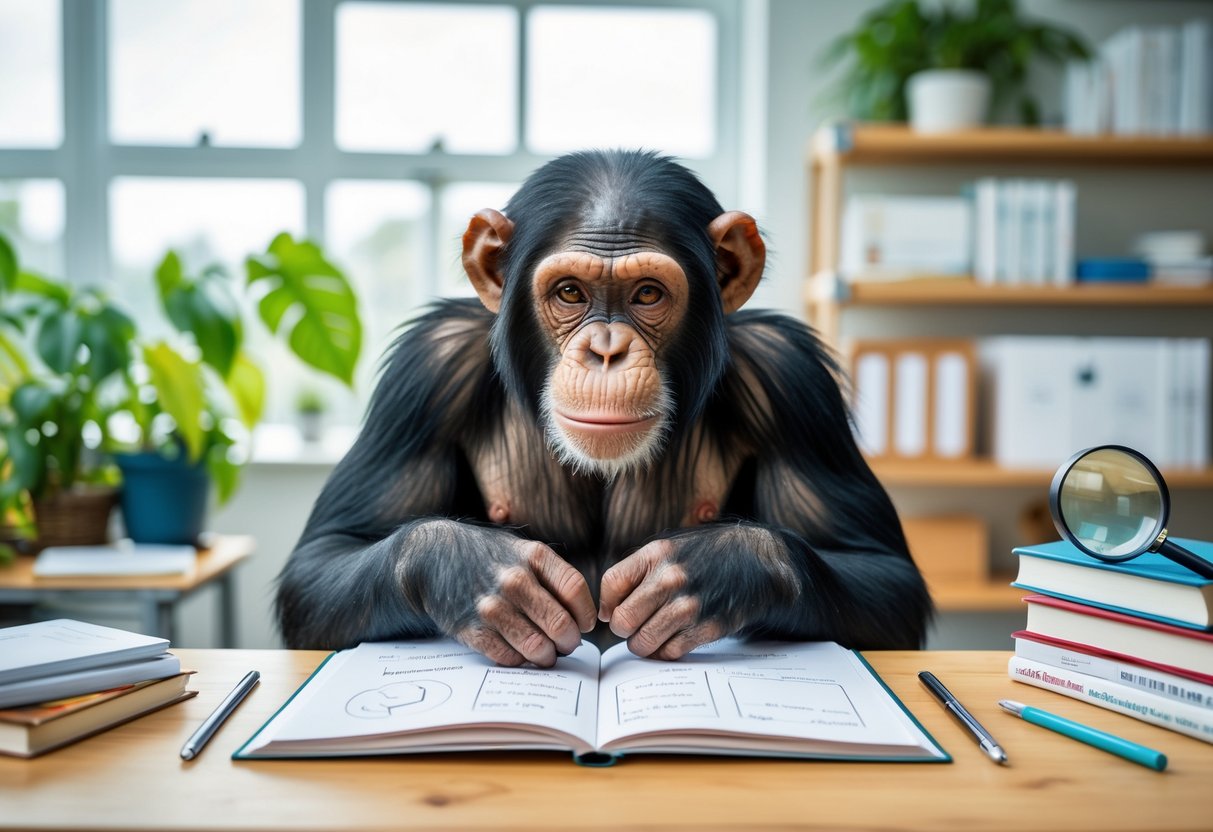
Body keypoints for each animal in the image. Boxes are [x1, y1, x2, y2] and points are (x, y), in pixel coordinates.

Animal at [276, 149, 932, 666]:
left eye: (647, 294)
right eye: (570, 292)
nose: (607, 350)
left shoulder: (794, 381)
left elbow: (881, 572)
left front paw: (723, 569)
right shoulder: (423, 373)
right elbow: (327, 553)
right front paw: (470, 571)